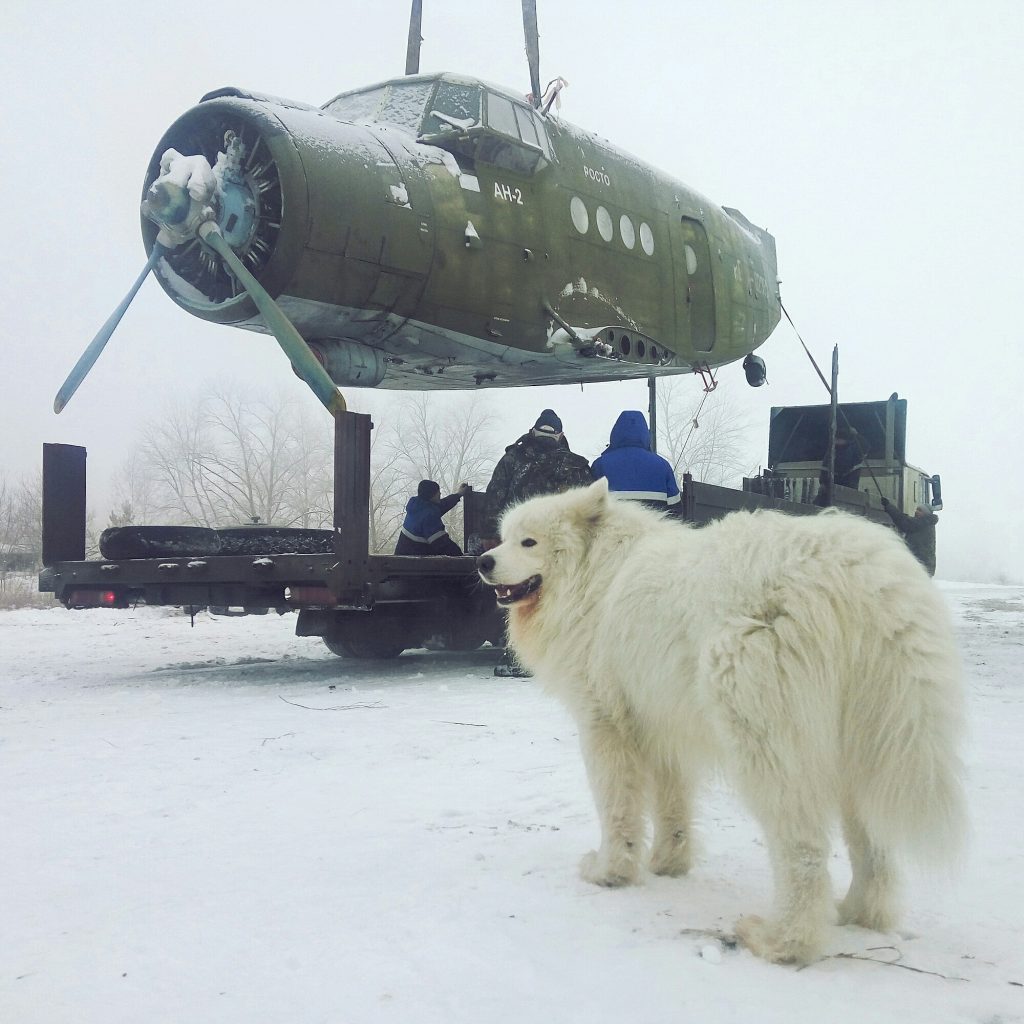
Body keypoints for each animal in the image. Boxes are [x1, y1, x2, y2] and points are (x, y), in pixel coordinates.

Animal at [475, 477, 962, 958]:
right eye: (503, 537)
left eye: (529, 541)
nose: (482, 561)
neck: (594, 579)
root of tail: (860, 574)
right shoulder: (661, 726)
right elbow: (672, 807)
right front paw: (667, 865)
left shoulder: (604, 726)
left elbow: (618, 810)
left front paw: (610, 872)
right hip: (863, 745)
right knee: (874, 846)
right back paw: (859, 914)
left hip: (765, 742)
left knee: (802, 848)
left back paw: (782, 940)